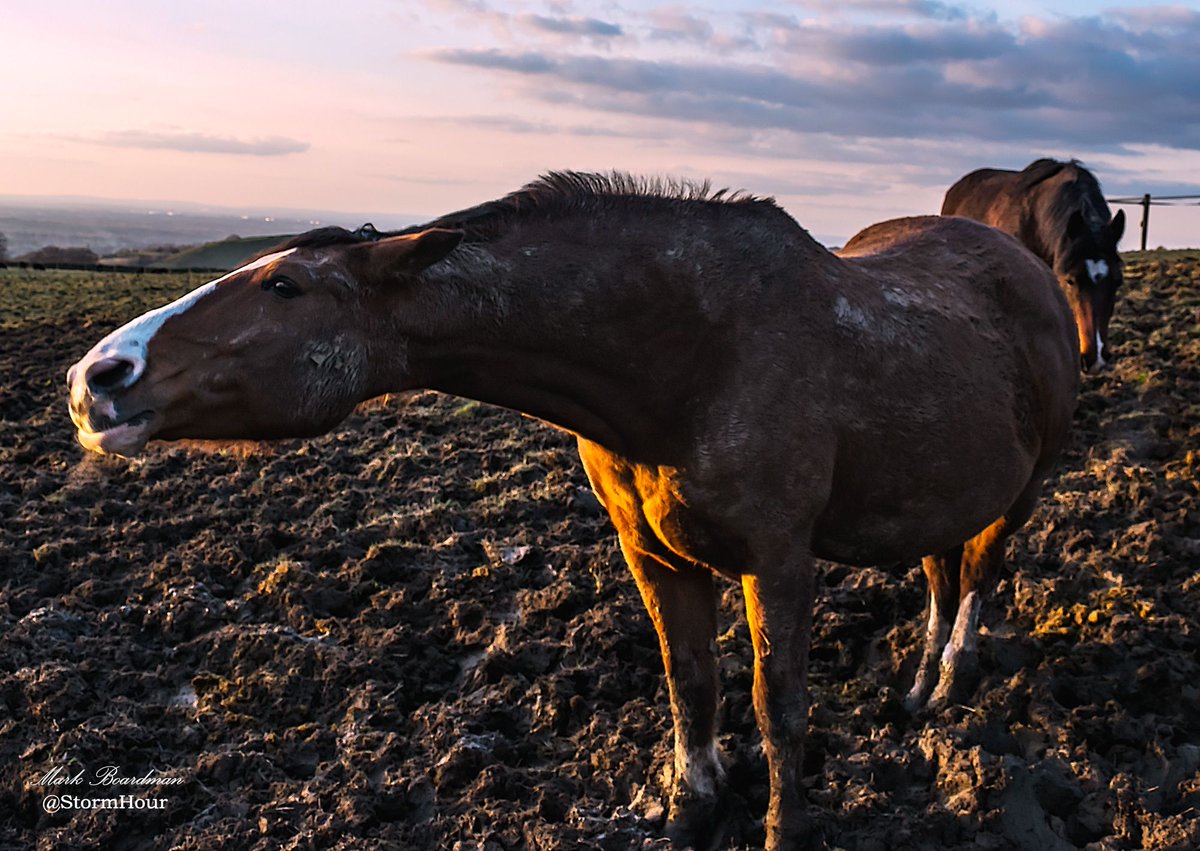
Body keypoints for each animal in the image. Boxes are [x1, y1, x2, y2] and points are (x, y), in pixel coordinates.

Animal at [66, 172, 1079, 850]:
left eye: (284, 286)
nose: (93, 379)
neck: (691, 354)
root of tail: (1024, 262)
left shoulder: (780, 559)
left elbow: (777, 705)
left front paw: (784, 826)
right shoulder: (654, 555)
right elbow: (690, 684)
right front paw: (692, 808)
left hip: (1021, 489)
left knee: (978, 575)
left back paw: (950, 679)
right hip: (942, 487)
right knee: (941, 571)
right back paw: (915, 689)